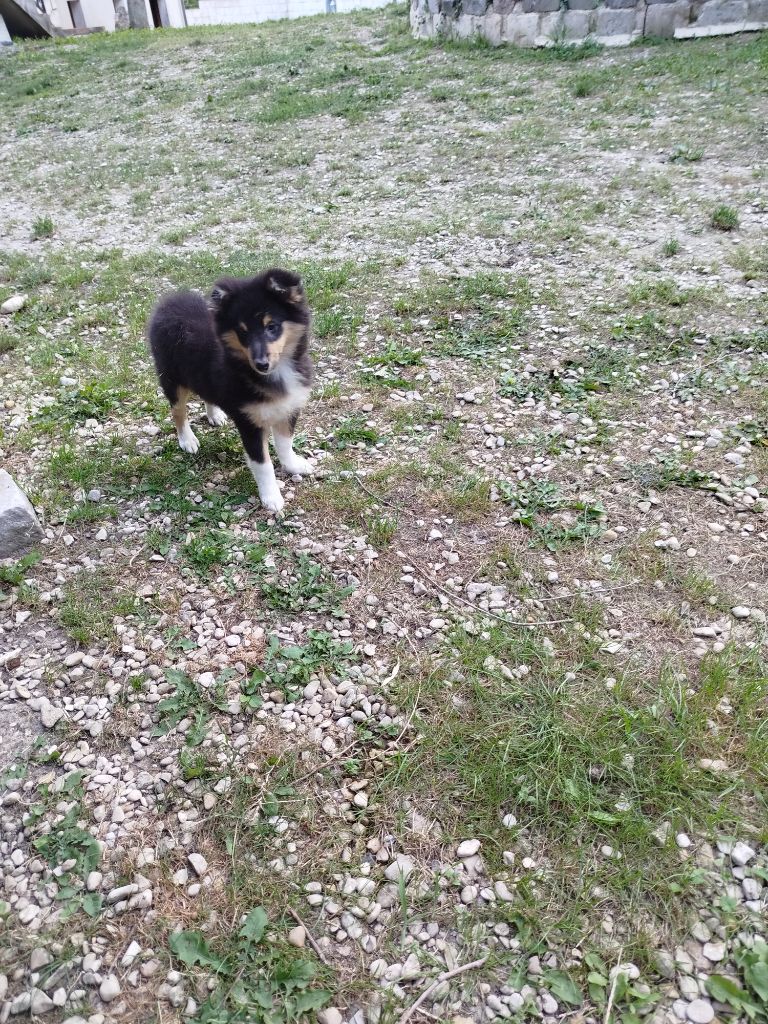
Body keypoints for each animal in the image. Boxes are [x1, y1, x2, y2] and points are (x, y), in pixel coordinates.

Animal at [147, 268, 314, 513]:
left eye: (271, 327)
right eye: (242, 332)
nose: (261, 364)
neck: (279, 371)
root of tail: (171, 301)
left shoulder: (289, 407)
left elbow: (285, 443)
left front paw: (294, 465)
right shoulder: (249, 423)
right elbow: (263, 464)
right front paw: (271, 498)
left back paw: (215, 415)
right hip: (171, 377)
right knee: (178, 411)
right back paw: (187, 439)